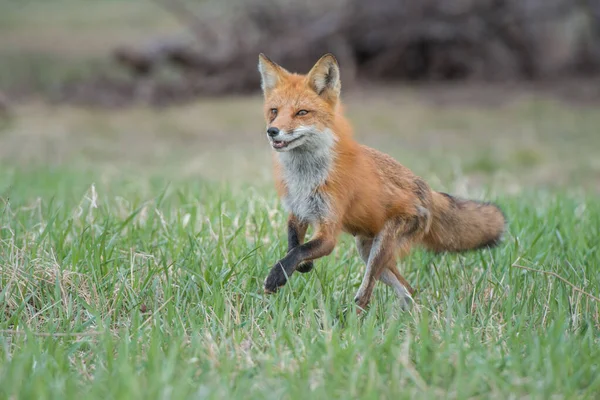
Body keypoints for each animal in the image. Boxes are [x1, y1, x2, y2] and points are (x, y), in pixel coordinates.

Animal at [258, 53, 506, 310]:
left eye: (301, 113)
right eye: (274, 111)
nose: (272, 131)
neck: (305, 175)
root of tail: (426, 188)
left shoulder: (329, 231)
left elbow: (299, 251)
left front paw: (277, 276)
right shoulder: (298, 211)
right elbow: (294, 245)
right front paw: (302, 266)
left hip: (378, 250)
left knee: (367, 295)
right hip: (368, 249)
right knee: (408, 290)